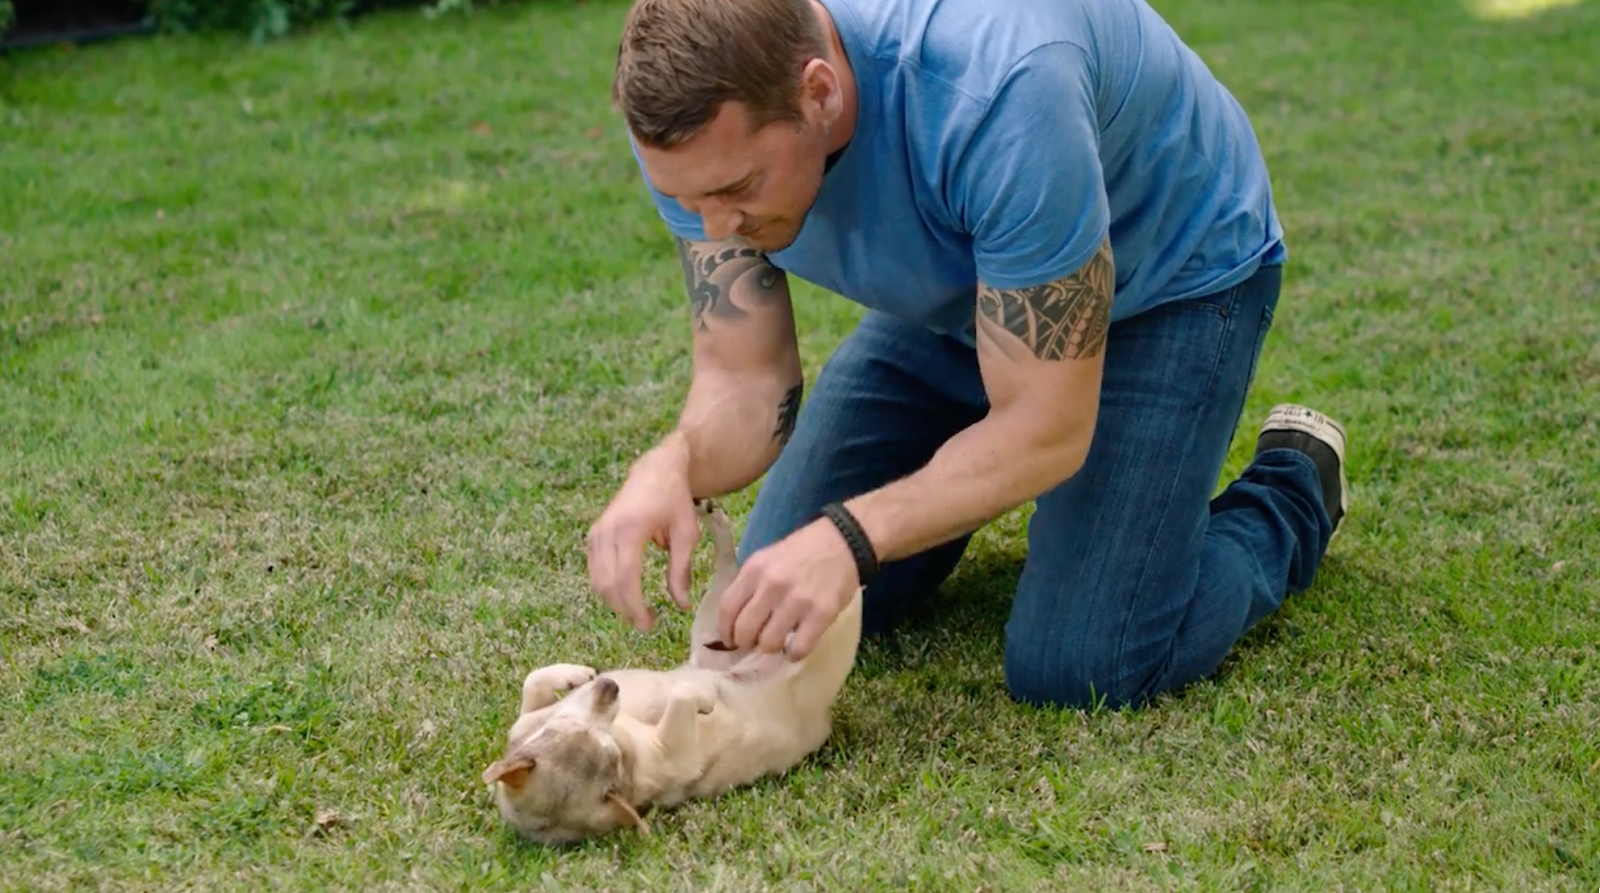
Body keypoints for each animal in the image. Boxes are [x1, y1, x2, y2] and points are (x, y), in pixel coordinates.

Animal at [483, 505, 870, 844]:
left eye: (565, 728)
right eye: (606, 750)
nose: (609, 685)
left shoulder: (526, 722)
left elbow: (532, 681)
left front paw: (574, 674)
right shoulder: (674, 752)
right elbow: (683, 698)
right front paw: (704, 699)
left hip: (722, 621)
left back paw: (713, 516)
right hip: (809, 639)